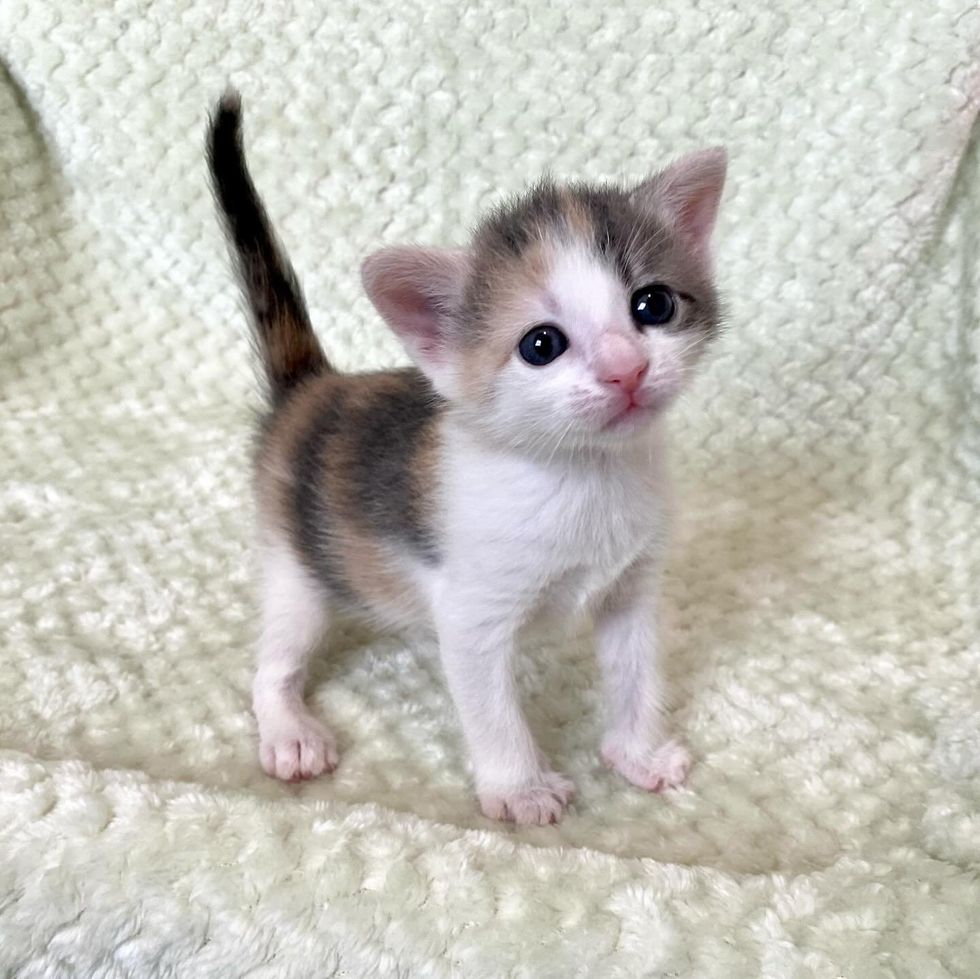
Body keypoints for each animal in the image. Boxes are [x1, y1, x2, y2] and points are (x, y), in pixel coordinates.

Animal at [209, 92, 728, 828]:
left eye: (652, 304)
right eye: (541, 344)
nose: (625, 369)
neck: (582, 473)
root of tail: (313, 386)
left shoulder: (632, 590)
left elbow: (637, 673)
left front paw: (639, 754)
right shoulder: (474, 612)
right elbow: (491, 708)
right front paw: (521, 787)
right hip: (298, 561)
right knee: (277, 652)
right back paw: (288, 730)